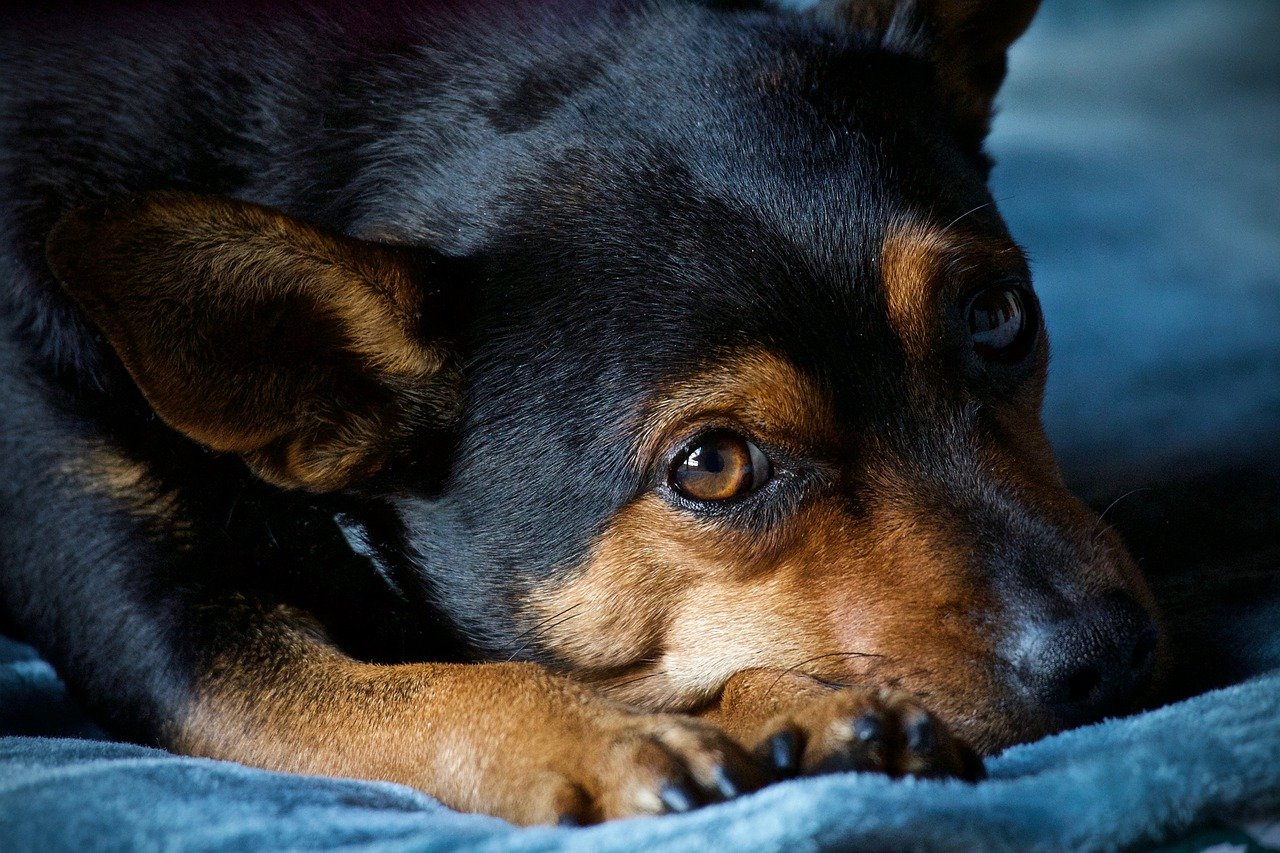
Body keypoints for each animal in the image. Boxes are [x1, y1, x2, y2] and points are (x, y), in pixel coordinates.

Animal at [0, 0, 1162, 824]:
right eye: (712, 465)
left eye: (998, 316)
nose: (1107, 651)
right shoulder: (165, 631)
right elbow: (435, 686)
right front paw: (603, 738)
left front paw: (798, 711)